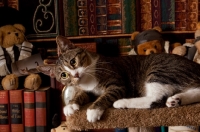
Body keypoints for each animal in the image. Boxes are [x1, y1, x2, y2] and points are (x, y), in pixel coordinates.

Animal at [39, 35, 200, 122]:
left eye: (73, 61)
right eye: (63, 75)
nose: (76, 75)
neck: (88, 79)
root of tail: (195, 66)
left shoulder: (117, 84)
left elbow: (106, 96)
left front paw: (93, 111)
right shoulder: (89, 90)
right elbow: (82, 94)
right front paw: (71, 105)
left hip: (159, 70)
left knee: (156, 98)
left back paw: (121, 103)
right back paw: (176, 100)